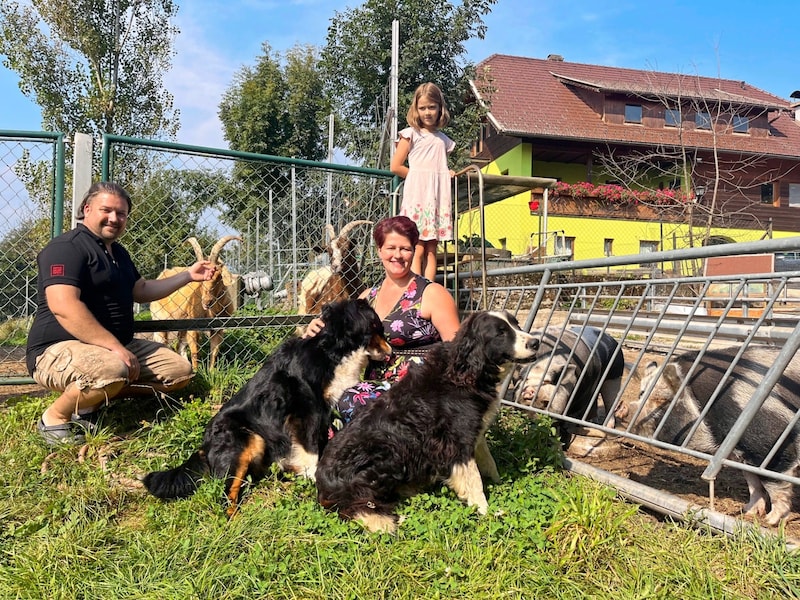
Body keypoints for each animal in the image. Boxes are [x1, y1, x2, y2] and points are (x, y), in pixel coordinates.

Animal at [146, 300, 394, 516]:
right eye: (376, 328)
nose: (391, 352)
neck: (333, 352)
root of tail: (204, 445)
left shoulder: (324, 411)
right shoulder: (307, 410)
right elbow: (311, 450)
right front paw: (314, 477)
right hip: (244, 440)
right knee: (227, 494)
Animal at [151, 236, 241, 370]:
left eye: (219, 276)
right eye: (201, 278)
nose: (207, 302)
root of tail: (161, 276)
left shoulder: (218, 329)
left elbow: (214, 351)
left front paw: (211, 371)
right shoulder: (193, 327)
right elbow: (195, 351)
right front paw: (196, 371)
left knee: (179, 346)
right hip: (160, 320)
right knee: (163, 343)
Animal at [316, 312, 540, 532]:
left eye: (516, 324)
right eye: (500, 333)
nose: (536, 342)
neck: (464, 373)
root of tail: (322, 484)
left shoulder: (475, 431)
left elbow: (488, 462)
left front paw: (497, 483)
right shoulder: (457, 441)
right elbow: (474, 480)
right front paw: (485, 510)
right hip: (388, 452)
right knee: (359, 506)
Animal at [616, 346, 800, 524]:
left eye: (663, 400)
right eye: (641, 393)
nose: (622, 407)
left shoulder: (771, 444)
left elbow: (774, 481)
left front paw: (770, 521)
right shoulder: (740, 451)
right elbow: (752, 480)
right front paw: (747, 512)